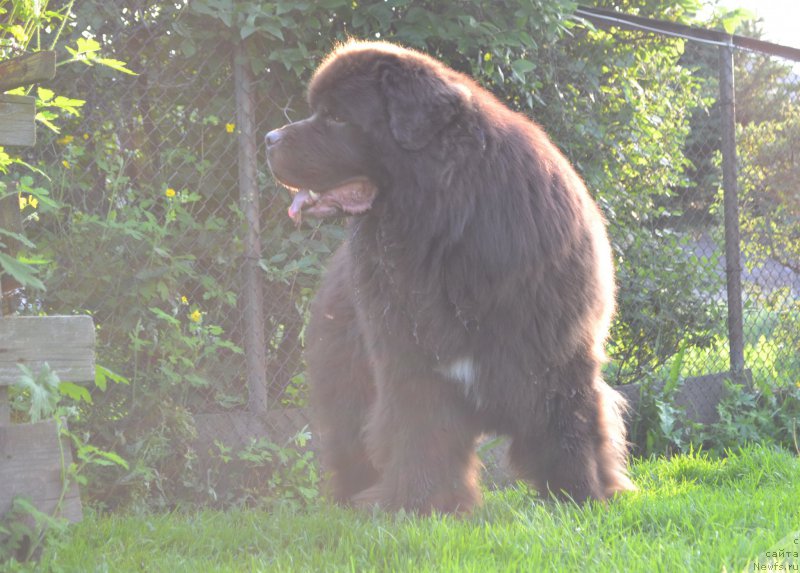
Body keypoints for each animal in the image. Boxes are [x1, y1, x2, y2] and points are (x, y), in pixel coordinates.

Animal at [266, 41, 636, 512]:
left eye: (335, 117)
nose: (268, 139)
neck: (447, 226)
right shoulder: (412, 361)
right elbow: (420, 434)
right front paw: (419, 505)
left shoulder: (559, 355)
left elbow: (569, 428)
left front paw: (580, 496)